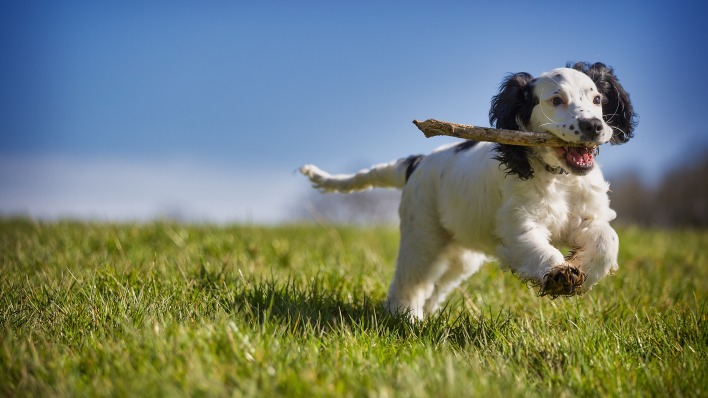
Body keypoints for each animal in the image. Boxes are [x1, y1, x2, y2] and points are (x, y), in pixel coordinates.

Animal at [298, 60, 636, 318]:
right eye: (556, 101)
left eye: (597, 100)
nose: (594, 126)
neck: (559, 177)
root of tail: (417, 162)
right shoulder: (518, 224)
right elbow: (537, 246)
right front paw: (558, 274)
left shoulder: (587, 216)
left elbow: (608, 240)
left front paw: (582, 270)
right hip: (423, 236)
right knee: (410, 281)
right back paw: (406, 318)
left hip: (461, 255)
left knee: (436, 286)